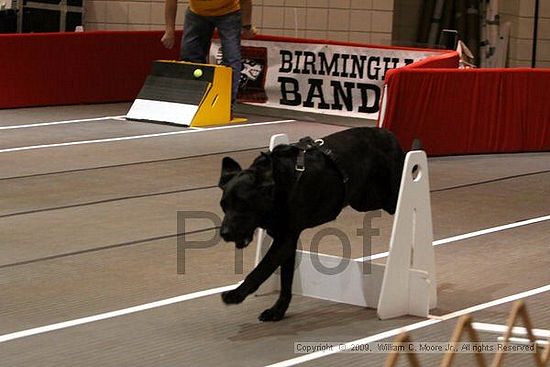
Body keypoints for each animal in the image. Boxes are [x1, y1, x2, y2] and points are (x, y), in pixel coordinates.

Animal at [219, 127, 406, 322]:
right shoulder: (287, 242)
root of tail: (389, 134)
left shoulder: (285, 240)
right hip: (365, 200)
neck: (279, 188)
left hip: (390, 196)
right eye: (223, 206)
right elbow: (285, 281)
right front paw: (278, 311)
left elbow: (261, 270)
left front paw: (235, 294)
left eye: (242, 205)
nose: (224, 233)